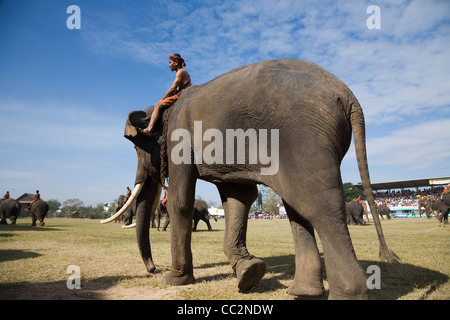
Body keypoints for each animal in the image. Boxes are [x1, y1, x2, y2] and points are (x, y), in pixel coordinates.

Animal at [100, 59, 396, 300]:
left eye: (137, 148)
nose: (152, 269)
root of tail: (347, 96)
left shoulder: (180, 140)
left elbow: (181, 201)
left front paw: (175, 279)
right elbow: (239, 198)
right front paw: (249, 272)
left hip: (304, 139)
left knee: (319, 206)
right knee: (297, 208)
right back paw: (302, 291)